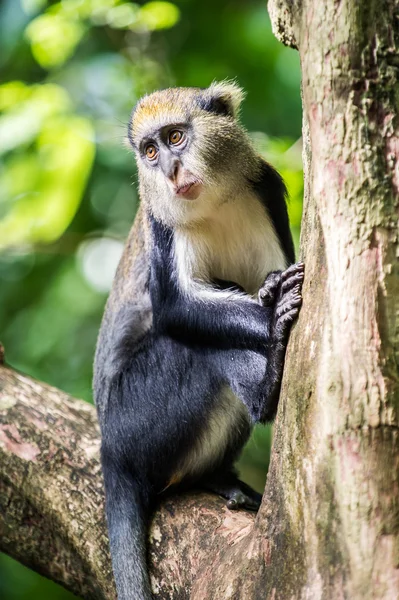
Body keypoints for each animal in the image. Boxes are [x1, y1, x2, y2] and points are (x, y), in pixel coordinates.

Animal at [94, 81, 304, 600]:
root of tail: (110, 451)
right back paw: (268, 384)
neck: (214, 202)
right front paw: (271, 315)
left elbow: (274, 271)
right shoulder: (162, 227)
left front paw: (272, 291)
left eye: (175, 137)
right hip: (136, 419)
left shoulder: (265, 188)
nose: (170, 171)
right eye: (149, 152)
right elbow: (176, 310)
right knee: (196, 349)